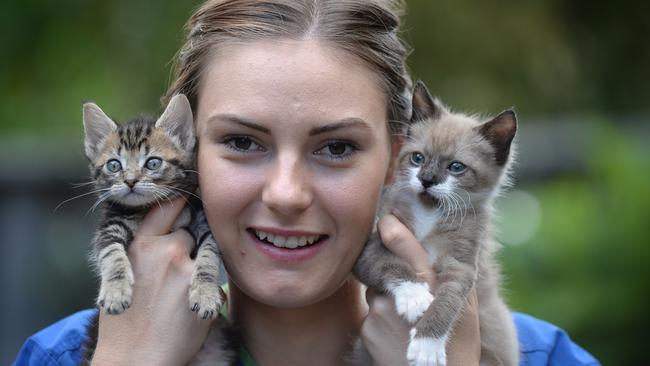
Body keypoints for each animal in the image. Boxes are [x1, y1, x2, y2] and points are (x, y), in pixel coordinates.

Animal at [352, 81, 520, 366]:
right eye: (417, 158)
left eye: (456, 167)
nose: (427, 179)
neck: (429, 211)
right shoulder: (369, 249)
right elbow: (390, 264)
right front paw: (415, 297)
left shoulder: (462, 266)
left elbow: (446, 303)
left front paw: (426, 346)